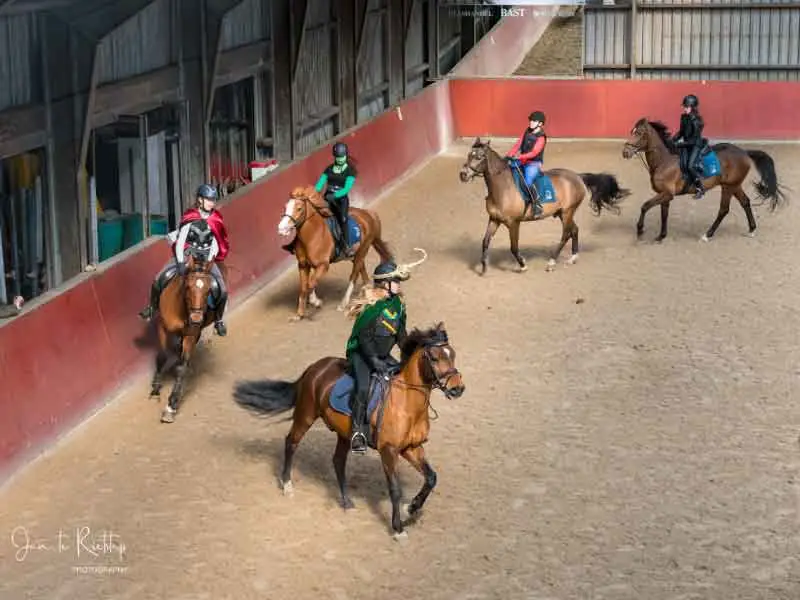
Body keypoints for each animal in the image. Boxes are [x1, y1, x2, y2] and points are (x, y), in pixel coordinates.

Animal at [148, 246, 220, 424]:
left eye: (208, 290)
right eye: (187, 287)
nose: (196, 318)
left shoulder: (191, 335)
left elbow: (183, 367)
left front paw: (171, 406)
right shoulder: (162, 326)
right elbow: (162, 356)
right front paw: (155, 387)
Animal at [231, 324, 466, 540]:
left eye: (452, 354)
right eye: (434, 358)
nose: (457, 389)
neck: (407, 402)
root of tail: (314, 368)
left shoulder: (411, 447)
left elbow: (431, 478)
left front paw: (411, 508)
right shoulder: (388, 451)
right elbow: (395, 489)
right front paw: (398, 529)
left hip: (345, 434)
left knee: (337, 461)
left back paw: (346, 501)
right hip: (305, 415)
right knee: (291, 442)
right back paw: (287, 485)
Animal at [280, 185, 396, 322]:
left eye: (299, 208)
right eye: (285, 207)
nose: (281, 229)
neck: (313, 236)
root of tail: (368, 214)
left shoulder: (323, 266)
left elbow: (311, 283)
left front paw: (316, 302)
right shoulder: (303, 265)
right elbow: (304, 287)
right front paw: (299, 314)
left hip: (362, 250)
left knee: (354, 274)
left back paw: (343, 304)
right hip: (356, 254)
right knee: (361, 268)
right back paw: (367, 289)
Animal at [460, 137, 628, 274]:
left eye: (479, 157)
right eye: (469, 155)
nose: (463, 175)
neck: (502, 188)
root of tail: (578, 177)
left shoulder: (513, 223)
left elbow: (514, 247)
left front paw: (523, 265)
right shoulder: (494, 219)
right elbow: (485, 242)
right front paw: (483, 267)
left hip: (567, 212)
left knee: (566, 234)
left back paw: (551, 262)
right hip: (562, 213)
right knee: (574, 230)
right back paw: (573, 257)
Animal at [620, 118, 784, 243]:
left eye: (639, 133)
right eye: (632, 132)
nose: (625, 152)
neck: (664, 160)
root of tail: (744, 152)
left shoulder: (667, 194)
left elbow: (644, 206)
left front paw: (640, 231)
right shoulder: (664, 195)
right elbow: (664, 214)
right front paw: (661, 236)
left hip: (728, 186)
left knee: (724, 209)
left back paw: (708, 234)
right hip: (734, 185)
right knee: (745, 202)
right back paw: (751, 229)